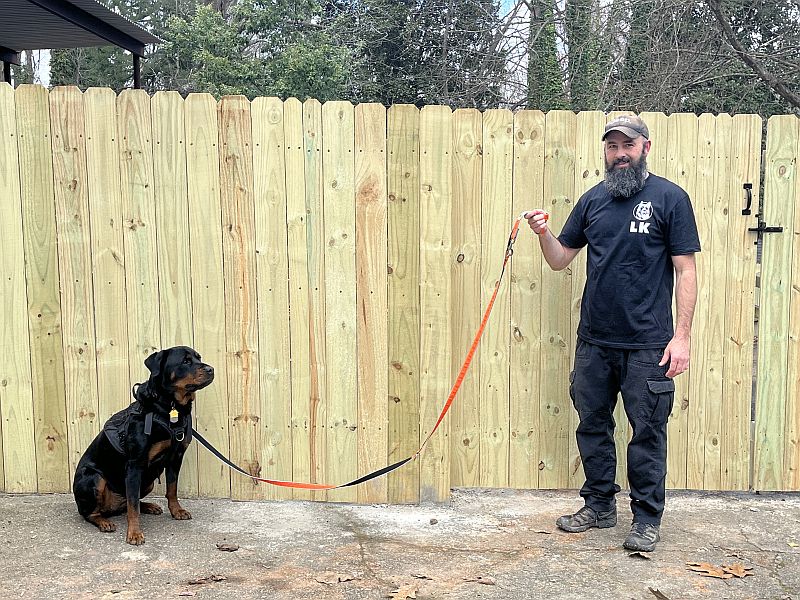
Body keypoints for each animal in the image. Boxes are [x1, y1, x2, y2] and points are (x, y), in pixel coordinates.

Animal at [72, 344, 214, 548]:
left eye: (198, 358)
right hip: (94, 478)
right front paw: (134, 533)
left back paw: (149, 506)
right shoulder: (135, 464)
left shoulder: (175, 457)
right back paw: (104, 522)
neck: (168, 409)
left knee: (127, 502)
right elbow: (133, 506)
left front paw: (176, 510)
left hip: (148, 481)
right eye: (186, 361)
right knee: (90, 512)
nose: (211, 369)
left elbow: (172, 489)